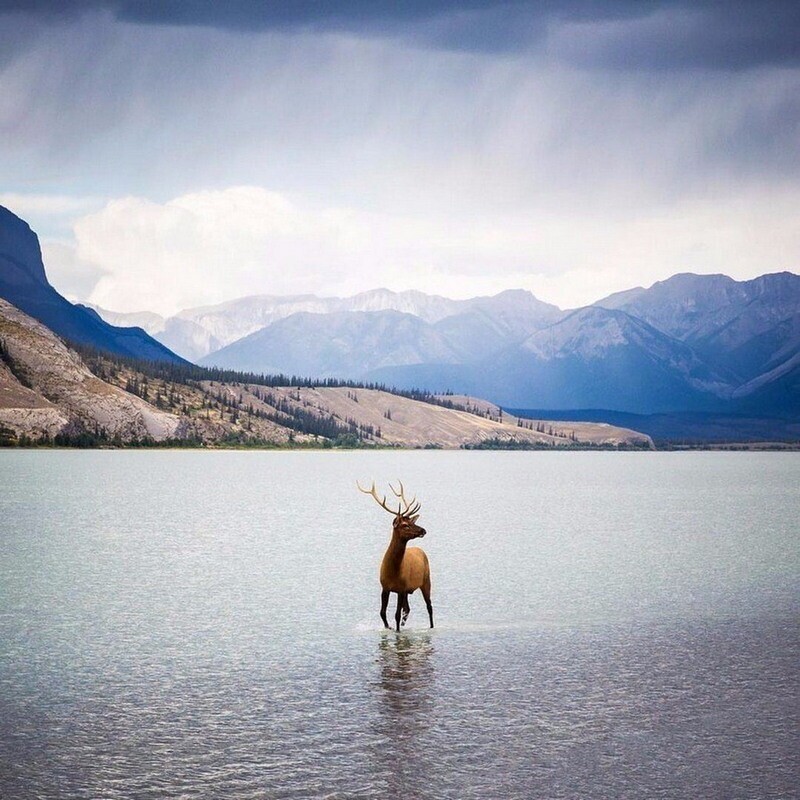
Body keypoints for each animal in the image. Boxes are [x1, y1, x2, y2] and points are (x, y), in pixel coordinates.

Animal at [356, 482, 432, 632]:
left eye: (413, 522)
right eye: (405, 525)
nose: (423, 530)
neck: (393, 571)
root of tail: (420, 550)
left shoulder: (401, 588)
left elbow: (396, 615)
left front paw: (396, 630)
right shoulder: (386, 587)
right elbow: (382, 612)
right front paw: (389, 627)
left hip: (426, 580)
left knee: (429, 607)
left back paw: (431, 626)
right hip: (408, 590)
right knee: (407, 609)